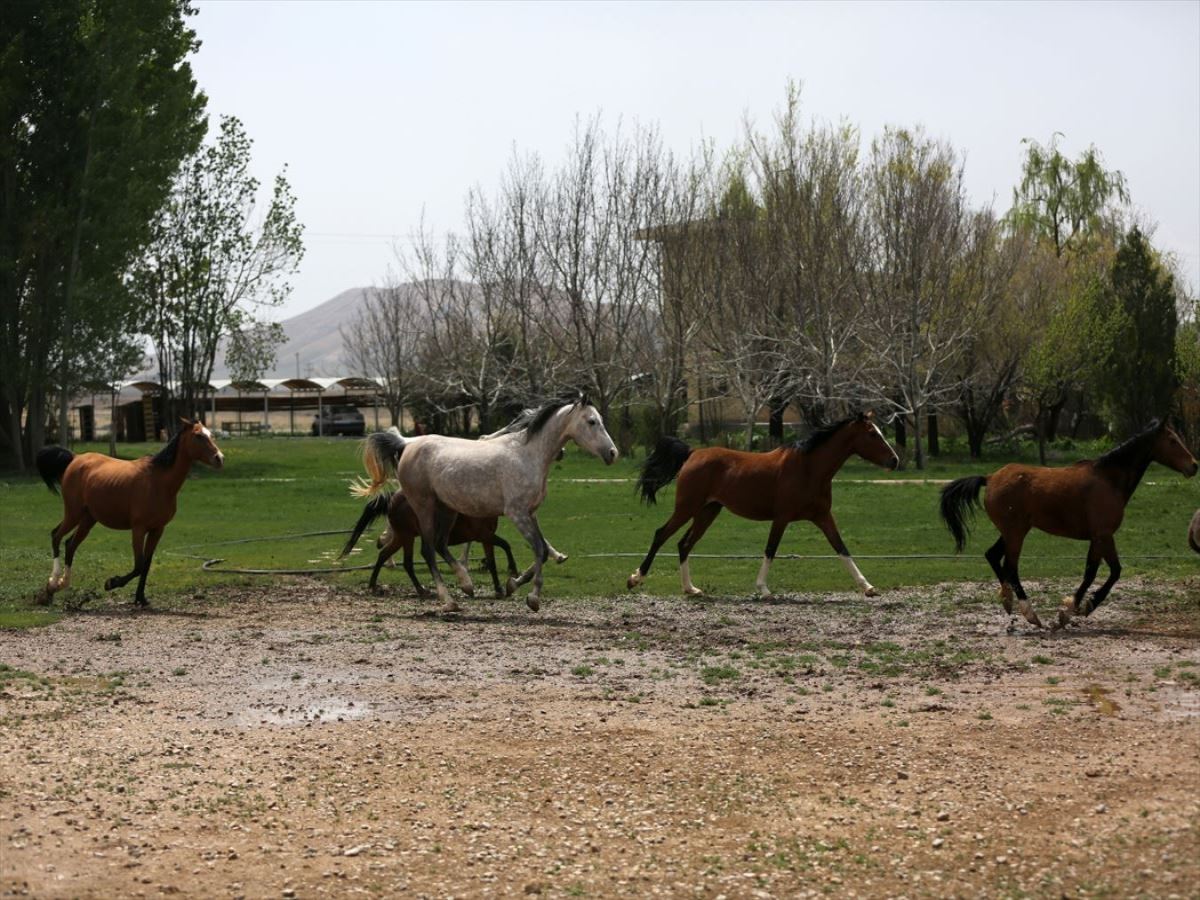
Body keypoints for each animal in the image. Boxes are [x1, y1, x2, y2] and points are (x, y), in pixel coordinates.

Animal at [35, 422, 225, 607]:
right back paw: (52, 585)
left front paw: (141, 598)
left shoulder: (157, 529)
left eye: (211, 435)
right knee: (56, 536)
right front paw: (111, 583)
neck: (159, 481)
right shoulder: (138, 529)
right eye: (198, 436)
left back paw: (58, 586)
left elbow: (146, 564)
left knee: (70, 544)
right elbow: (139, 566)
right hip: (73, 513)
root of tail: (75, 458)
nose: (220, 458)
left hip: (88, 518)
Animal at [340, 489, 523, 602]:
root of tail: (393, 497)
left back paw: (375, 585)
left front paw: (499, 589)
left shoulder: (486, 539)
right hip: (407, 536)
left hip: (403, 536)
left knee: (386, 555)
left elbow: (492, 562)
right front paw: (513, 570)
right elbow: (506, 545)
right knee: (406, 561)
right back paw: (422, 589)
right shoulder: (484, 535)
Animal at [628, 415, 902, 600]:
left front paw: (867, 587)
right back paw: (635, 578)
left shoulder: (823, 516)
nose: (895, 461)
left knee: (684, 544)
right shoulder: (781, 518)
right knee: (661, 535)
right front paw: (763, 589)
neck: (809, 468)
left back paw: (690, 588)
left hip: (708, 511)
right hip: (687, 508)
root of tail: (693, 453)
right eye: (873, 434)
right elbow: (771, 549)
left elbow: (841, 548)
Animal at [940, 422, 1195, 628]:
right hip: (1016, 533)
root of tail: (990, 478)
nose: (1194, 465)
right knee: (1010, 567)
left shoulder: (1097, 538)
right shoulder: (1104, 535)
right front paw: (1078, 609)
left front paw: (1074, 608)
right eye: (1173, 441)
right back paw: (1029, 613)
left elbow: (1094, 572)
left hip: (1013, 531)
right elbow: (1108, 572)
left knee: (992, 556)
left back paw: (1007, 600)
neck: (1108, 480)